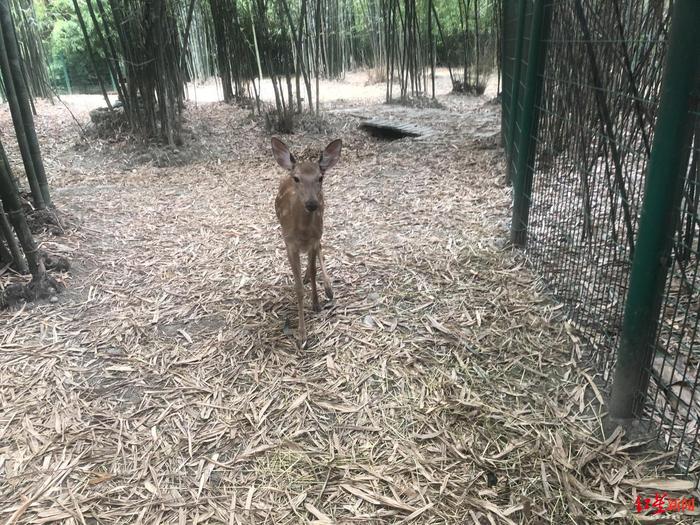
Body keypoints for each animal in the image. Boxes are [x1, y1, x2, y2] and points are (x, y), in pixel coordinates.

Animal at [270, 137, 342, 346]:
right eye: (297, 178)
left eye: (320, 178)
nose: (311, 204)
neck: (302, 233)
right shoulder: (289, 244)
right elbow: (299, 288)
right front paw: (302, 335)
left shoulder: (313, 239)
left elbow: (313, 269)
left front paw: (316, 303)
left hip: (322, 224)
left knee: (320, 248)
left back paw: (328, 288)